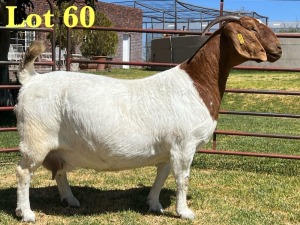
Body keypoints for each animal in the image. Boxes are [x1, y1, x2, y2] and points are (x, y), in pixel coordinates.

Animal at [14, 15, 282, 221]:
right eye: (251, 28)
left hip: (58, 146)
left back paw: (71, 200)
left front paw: (155, 205)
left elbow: (161, 176)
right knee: (23, 172)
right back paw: (26, 213)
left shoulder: (168, 148)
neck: (197, 83)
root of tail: (31, 79)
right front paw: (185, 212)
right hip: (36, 139)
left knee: (59, 171)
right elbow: (183, 179)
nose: (279, 49)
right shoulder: (184, 145)